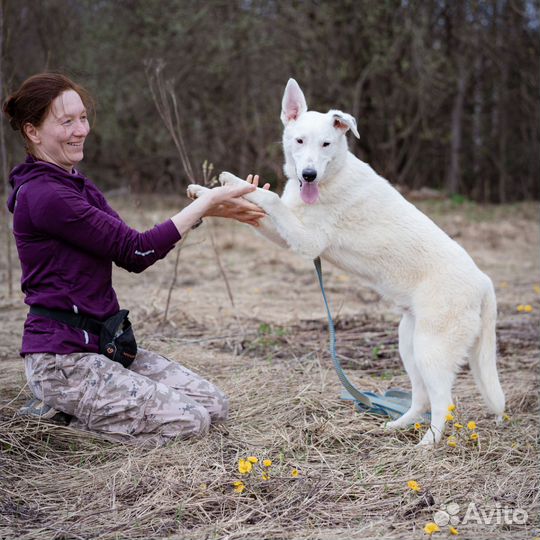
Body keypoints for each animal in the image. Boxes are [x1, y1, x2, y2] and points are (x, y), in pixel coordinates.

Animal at [188, 78, 504, 446]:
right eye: (299, 141)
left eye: (326, 144)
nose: (309, 175)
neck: (330, 177)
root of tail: (484, 282)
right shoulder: (287, 235)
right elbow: (257, 204)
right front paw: (210, 192)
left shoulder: (307, 241)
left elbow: (268, 198)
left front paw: (232, 185)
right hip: (409, 343)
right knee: (421, 398)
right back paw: (396, 426)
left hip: (432, 350)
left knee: (444, 402)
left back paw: (428, 444)